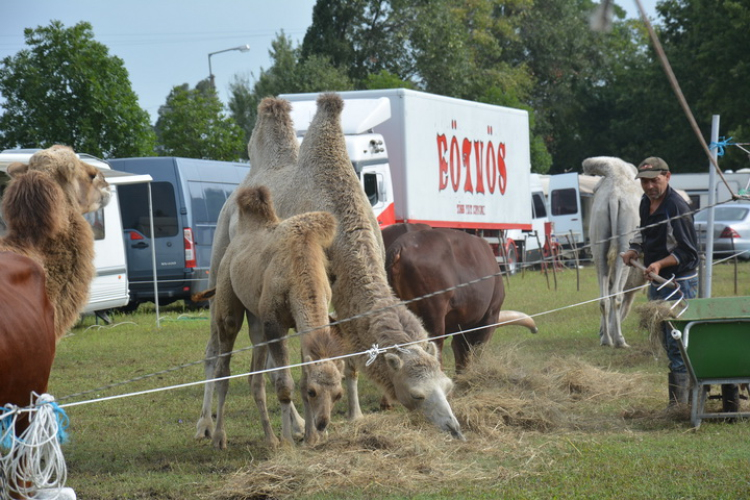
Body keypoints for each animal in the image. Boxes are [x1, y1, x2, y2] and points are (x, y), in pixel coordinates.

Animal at [194, 187, 346, 450]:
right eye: (314, 392)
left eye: (338, 394)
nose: (323, 423)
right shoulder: (275, 324)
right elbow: (285, 385)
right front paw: (288, 440)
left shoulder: (298, 325)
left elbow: (300, 378)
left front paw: (309, 438)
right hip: (227, 300)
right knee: (223, 369)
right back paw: (219, 437)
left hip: (256, 319)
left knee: (255, 379)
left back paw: (270, 438)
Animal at [203, 94, 464, 438]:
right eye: (417, 393)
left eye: (447, 387)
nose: (454, 427)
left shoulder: (340, 296)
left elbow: (346, 360)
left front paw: (353, 415)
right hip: (219, 253)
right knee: (214, 347)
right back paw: (205, 427)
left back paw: (295, 424)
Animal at [580, 156, 648, 348]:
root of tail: (614, 196)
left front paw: (603, 331)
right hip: (626, 239)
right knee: (617, 294)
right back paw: (619, 340)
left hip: (598, 237)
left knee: (604, 297)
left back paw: (606, 340)